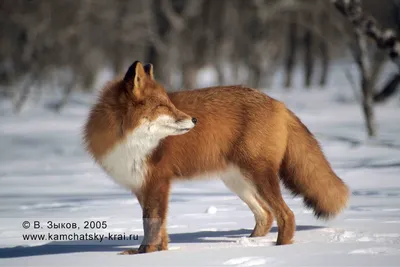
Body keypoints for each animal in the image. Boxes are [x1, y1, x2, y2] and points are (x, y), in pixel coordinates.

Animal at [83, 61, 348, 255]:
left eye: (169, 103)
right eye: (163, 106)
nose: (194, 120)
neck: (129, 141)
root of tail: (278, 102)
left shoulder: (158, 182)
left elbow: (152, 223)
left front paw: (145, 254)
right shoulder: (142, 186)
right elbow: (159, 227)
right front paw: (159, 253)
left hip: (258, 175)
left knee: (286, 215)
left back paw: (278, 250)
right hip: (238, 181)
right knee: (266, 215)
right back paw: (250, 243)